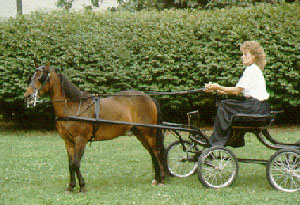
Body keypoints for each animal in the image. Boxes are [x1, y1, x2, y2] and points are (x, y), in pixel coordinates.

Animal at [23, 63, 166, 192]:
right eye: (31, 77)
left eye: (41, 78)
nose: (27, 96)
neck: (73, 106)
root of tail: (150, 98)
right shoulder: (68, 141)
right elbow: (70, 164)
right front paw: (71, 187)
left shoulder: (81, 139)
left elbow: (76, 163)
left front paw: (82, 186)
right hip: (141, 134)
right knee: (152, 154)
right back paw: (156, 179)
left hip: (149, 133)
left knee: (157, 152)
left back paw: (162, 180)